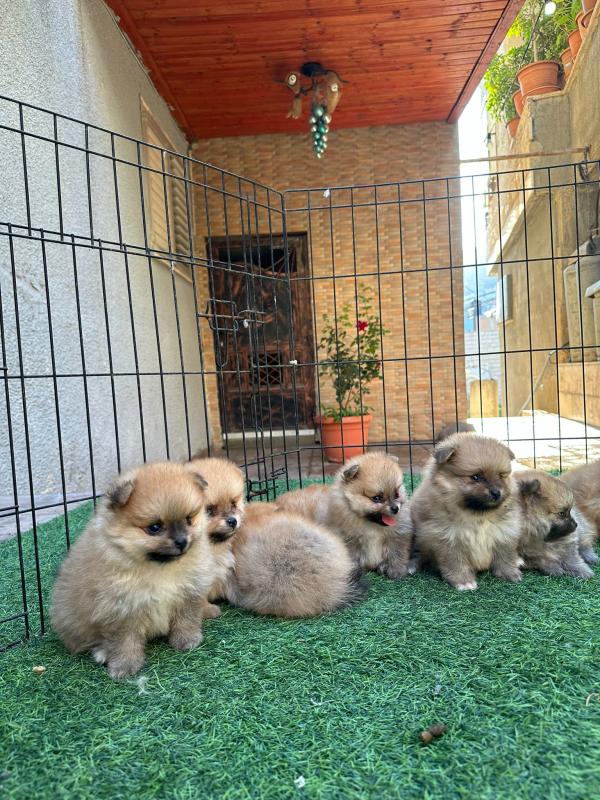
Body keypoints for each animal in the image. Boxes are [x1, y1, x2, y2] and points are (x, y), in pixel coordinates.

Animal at [51, 462, 214, 678]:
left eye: (189, 519)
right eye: (154, 527)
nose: (181, 541)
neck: (160, 568)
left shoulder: (189, 592)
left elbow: (186, 619)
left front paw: (187, 640)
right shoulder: (121, 608)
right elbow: (124, 641)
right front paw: (124, 666)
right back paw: (102, 652)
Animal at [276, 452, 413, 580]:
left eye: (396, 494)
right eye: (377, 498)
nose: (395, 508)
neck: (370, 525)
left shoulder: (397, 536)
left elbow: (396, 554)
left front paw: (395, 571)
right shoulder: (350, 541)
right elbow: (354, 560)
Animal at [411, 433, 522, 590]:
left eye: (501, 475)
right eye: (475, 477)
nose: (496, 492)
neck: (478, 515)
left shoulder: (504, 532)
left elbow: (505, 556)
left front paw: (510, 573)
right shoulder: (448, 539)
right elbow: (456, 563)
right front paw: (463, 581)